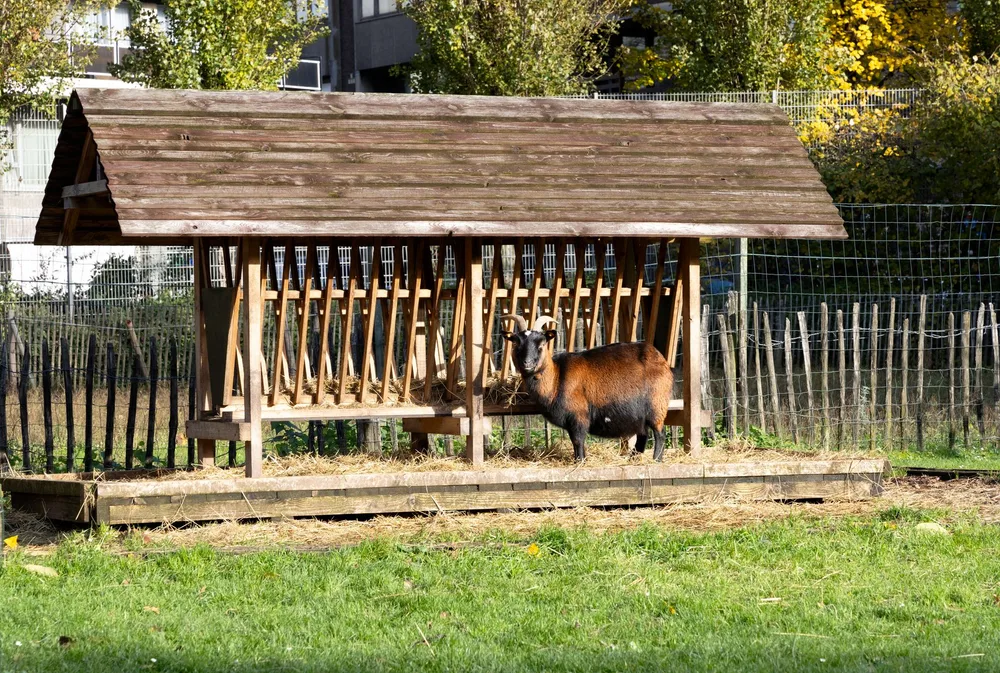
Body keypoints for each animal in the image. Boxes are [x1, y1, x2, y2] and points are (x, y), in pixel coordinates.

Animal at [501, 314, 674, 462]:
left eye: (541, 344)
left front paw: (580, 461)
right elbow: (575, 442)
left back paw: (656, 460)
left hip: (657, 406)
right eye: (516, 343)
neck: (557, 377)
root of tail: (661, 359)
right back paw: (634, 459)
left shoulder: (579, 415)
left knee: (660, 434)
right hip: (641, 415)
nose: (528, 364)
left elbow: (578, 441)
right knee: (643, 435)